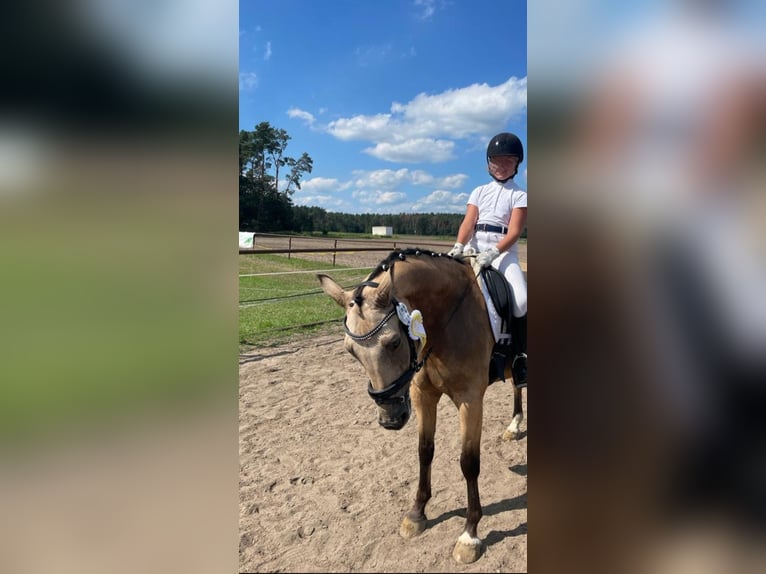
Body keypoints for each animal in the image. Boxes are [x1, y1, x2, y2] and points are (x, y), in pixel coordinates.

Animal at [316, 249, 524, 568]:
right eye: (350, 351)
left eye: (393, 342)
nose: (391, 418)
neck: (447, 319)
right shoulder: (422, 395)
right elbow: (424, 451)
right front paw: (417, 514)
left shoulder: (470, 400)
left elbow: (469, 462)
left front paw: (470, 536)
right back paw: (514, 426)